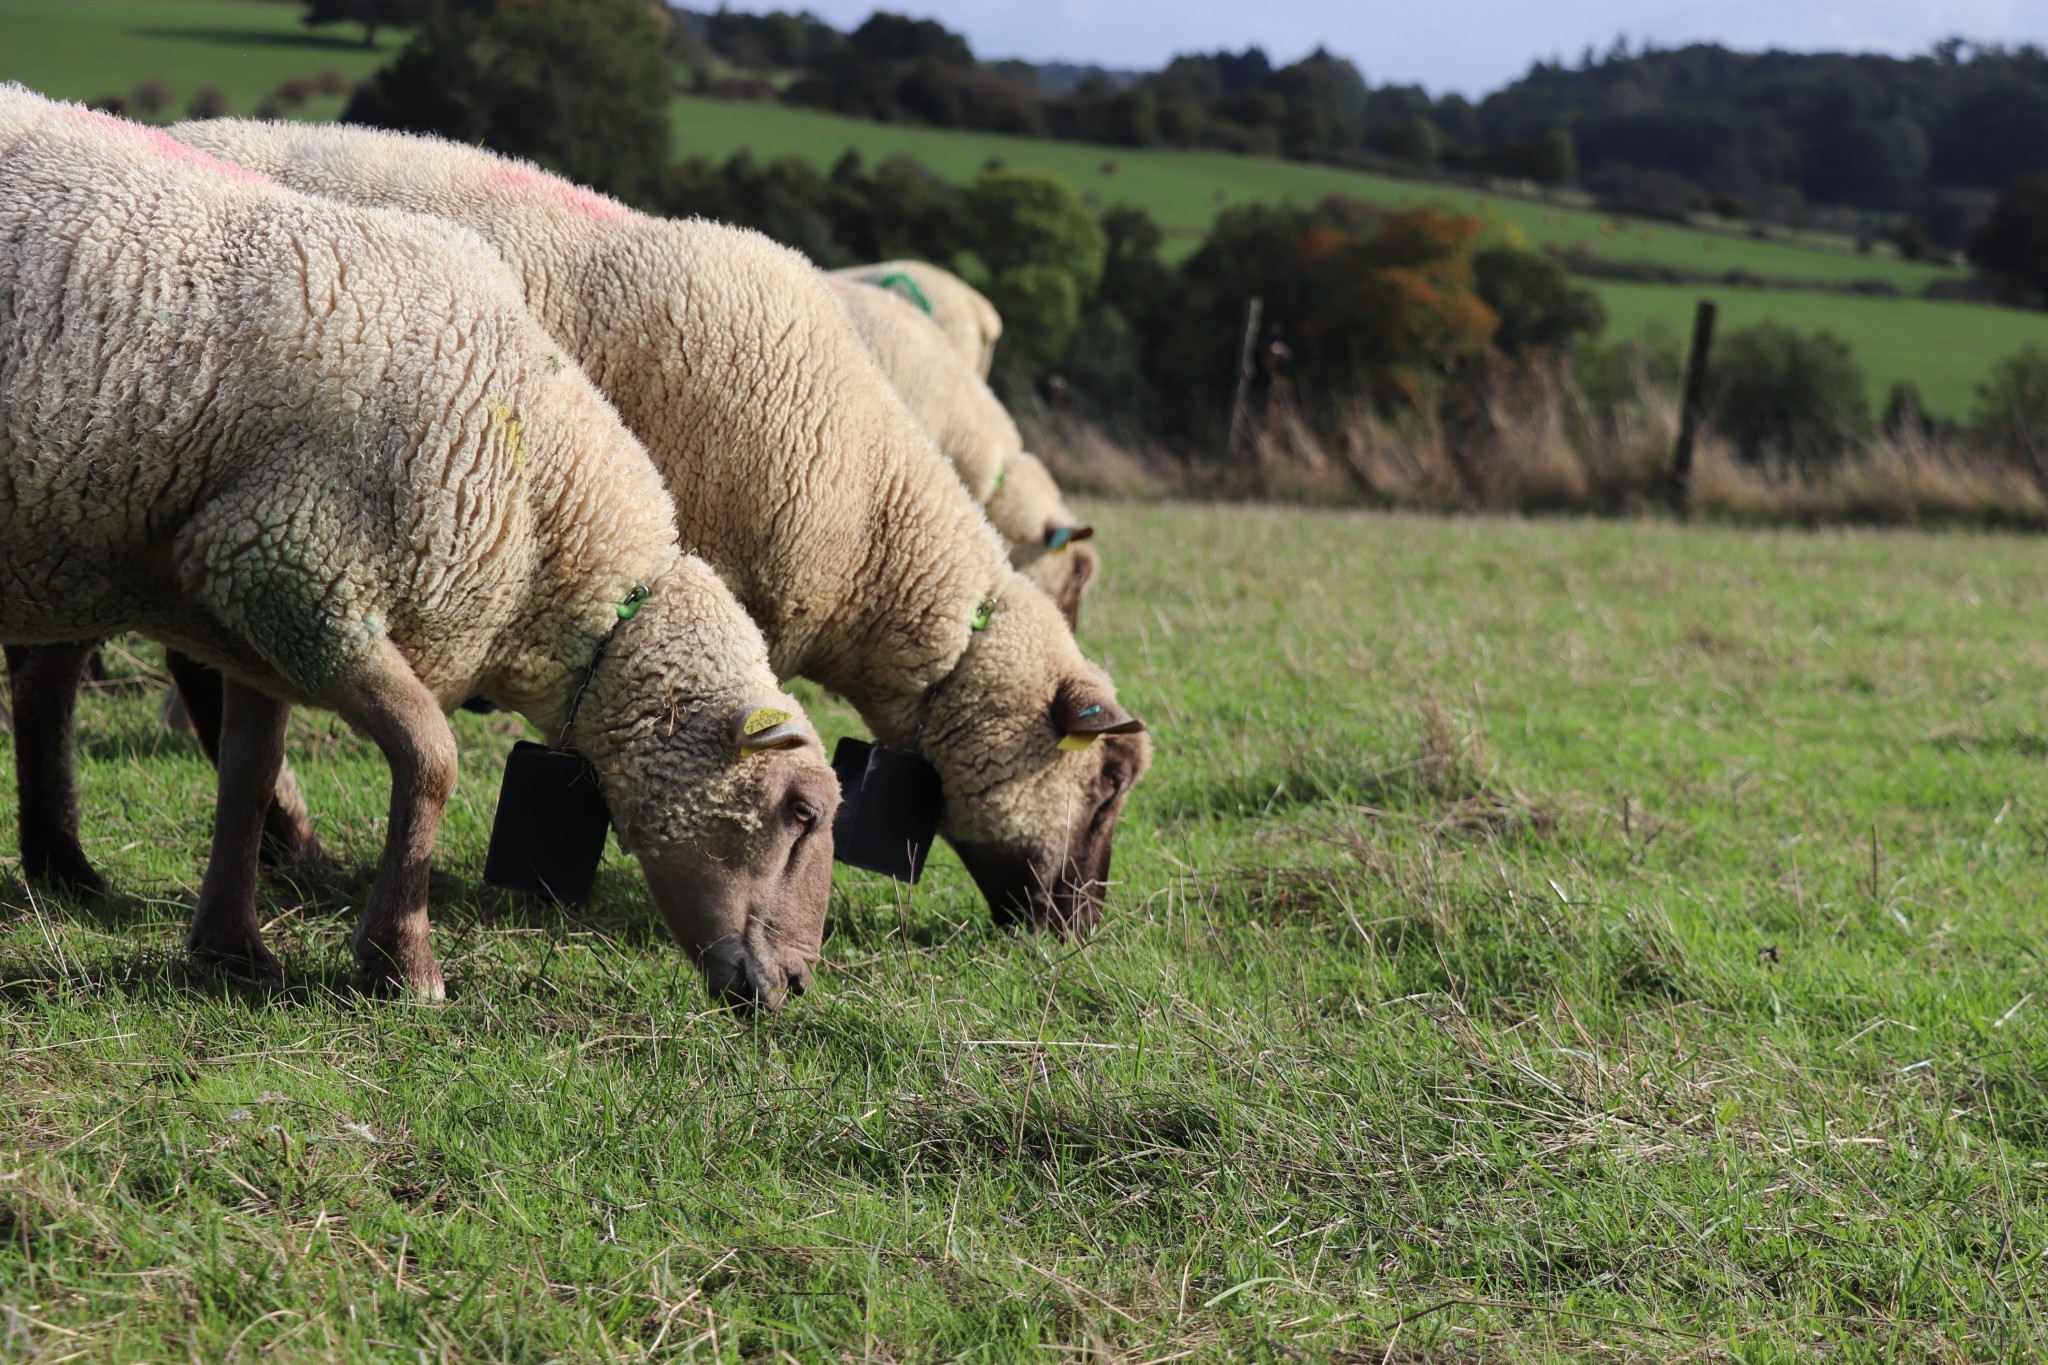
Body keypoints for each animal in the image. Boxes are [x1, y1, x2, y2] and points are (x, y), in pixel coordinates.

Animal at [0, 85, 835, 1002]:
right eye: (800, 811)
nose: (797, 981)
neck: (543, 503)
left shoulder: (247, 618)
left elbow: (247, 774)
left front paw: (232, 947)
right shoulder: (289, 574)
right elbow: (431, 759)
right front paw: (401, 960)